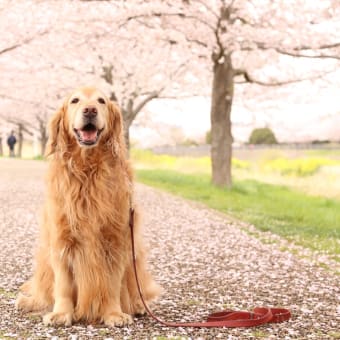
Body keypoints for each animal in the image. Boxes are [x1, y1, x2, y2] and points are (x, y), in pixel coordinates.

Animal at [14, 85, 161, 326]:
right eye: (75, 100)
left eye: (101, 101)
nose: (90, 110)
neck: (87, 169)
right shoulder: (62, 240)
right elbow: (63, 285)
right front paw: (61, 313)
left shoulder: (116, 240)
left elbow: (112, 284)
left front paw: (113, 313)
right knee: (43, 290)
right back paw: (29, 301)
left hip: (135, 257)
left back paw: (138, 306)